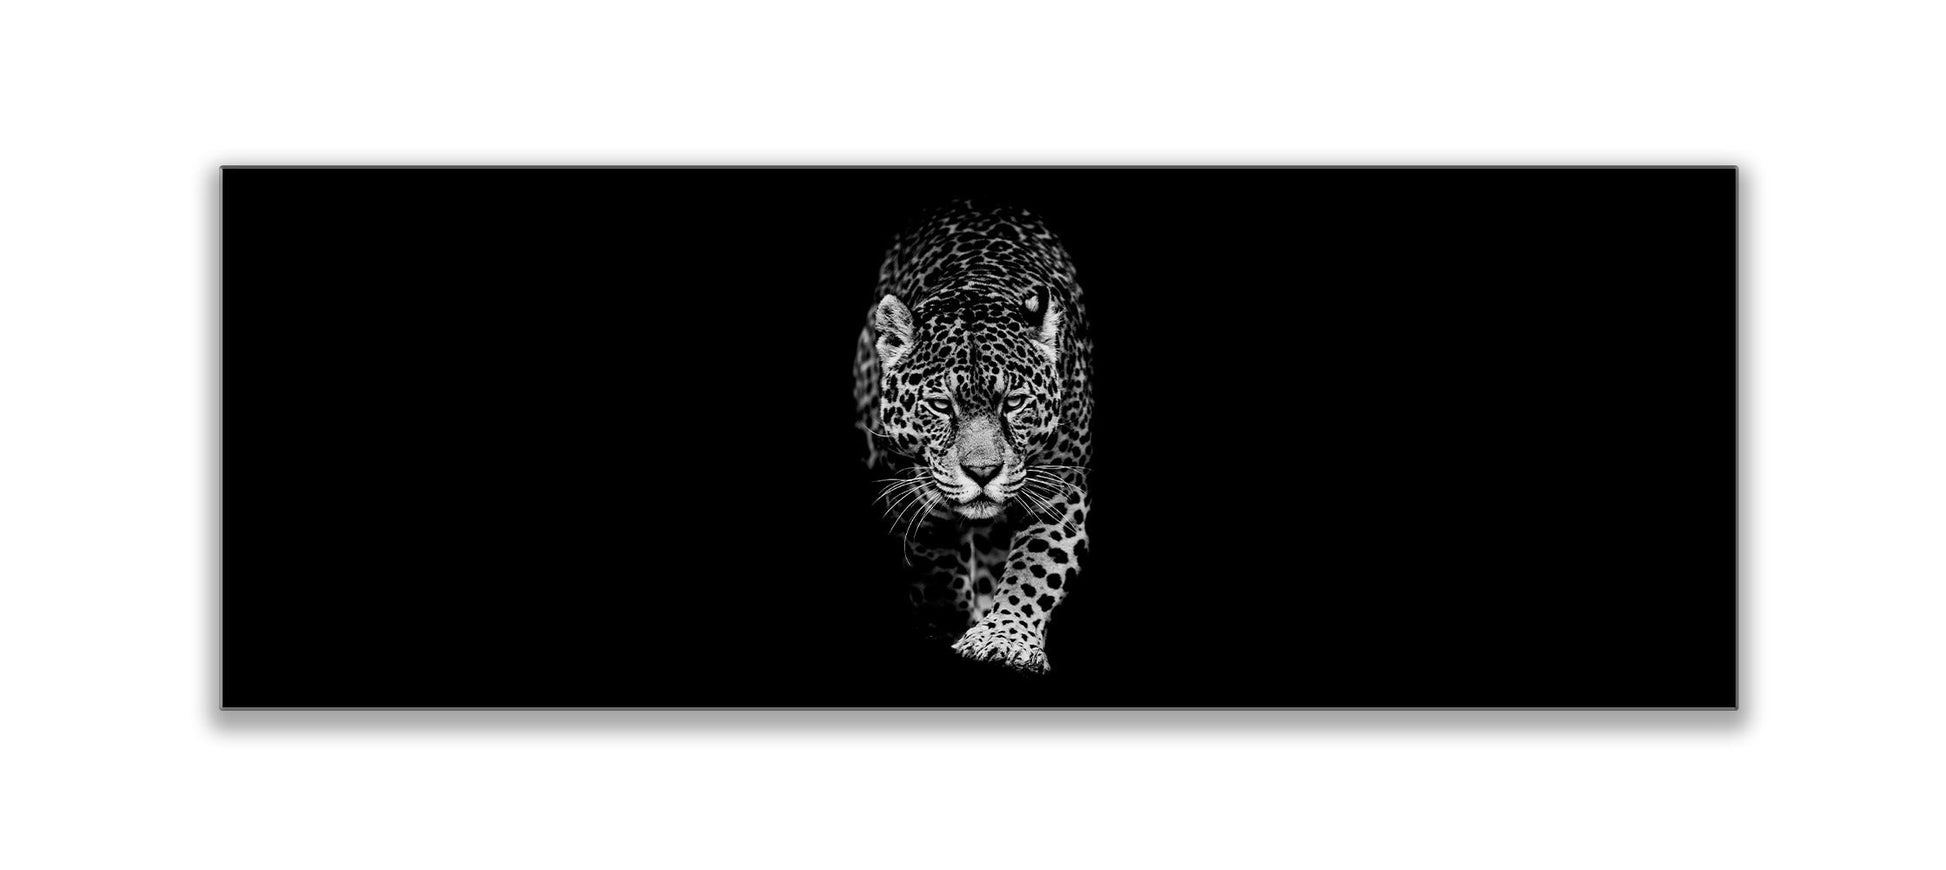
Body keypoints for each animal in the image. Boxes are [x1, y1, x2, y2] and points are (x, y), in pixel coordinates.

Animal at [852, 200, 1094, 675]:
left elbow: (1037, 566)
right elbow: (936, 569)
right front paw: (947, 625)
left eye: (1014, 402)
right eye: (941, 405)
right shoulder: (913, 496)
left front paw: (1006, 638)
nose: (983, 473)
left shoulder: (1060, 491)